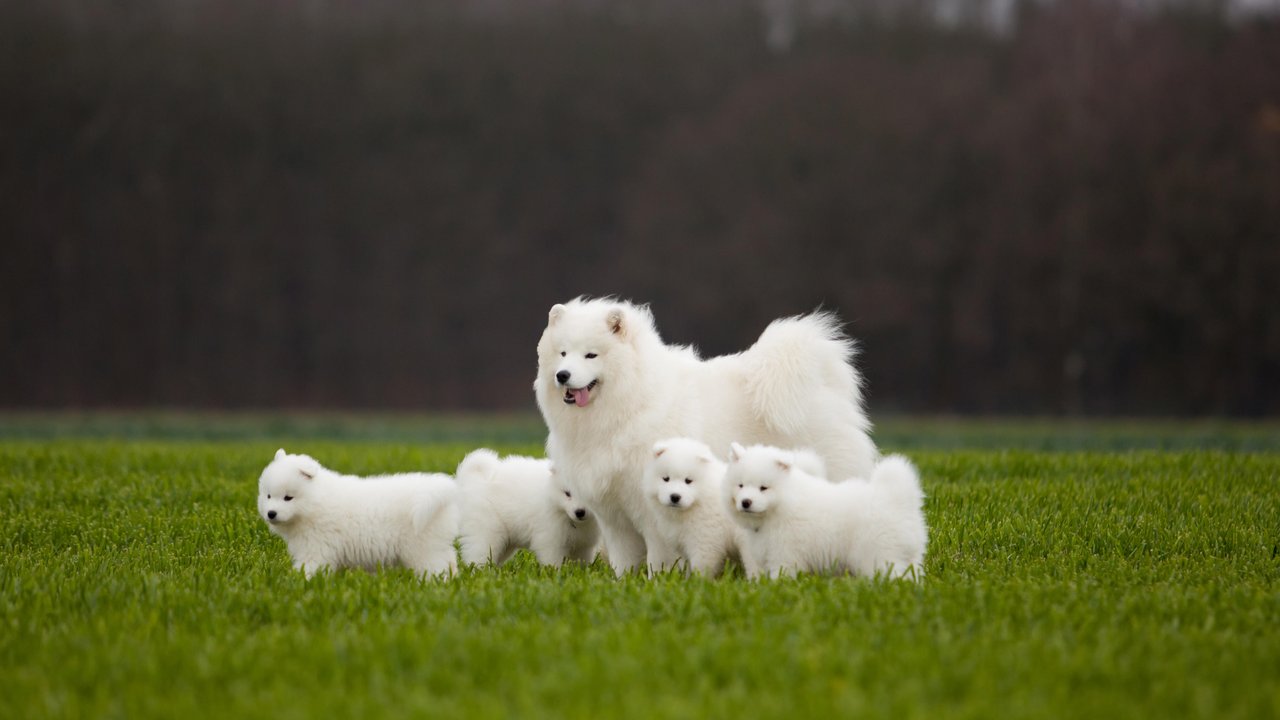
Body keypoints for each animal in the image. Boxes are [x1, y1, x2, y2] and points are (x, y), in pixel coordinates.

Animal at [256, 448, 460, 576]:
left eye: (288, 498)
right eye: (268, 495)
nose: (271, 513)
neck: (316, 502)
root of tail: (443, 489)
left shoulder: (317, 547)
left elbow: (309, 568)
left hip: (423, 550)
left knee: (436, 568)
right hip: (436, 546)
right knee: (450, 560)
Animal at [455, 448, 599, 566]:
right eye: (567, 493)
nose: (579, 512)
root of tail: (476, 481)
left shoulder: (584, 546)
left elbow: (581, 562)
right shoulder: (550, 540)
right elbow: (552, 562)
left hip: (506, 542)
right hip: (487, 531)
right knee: (479, 555)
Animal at [645, 435, 747, 573]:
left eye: (688, 480)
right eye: (666, 479)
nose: (674, 496)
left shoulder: (704, 541)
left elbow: (700, 567)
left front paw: (698, 578)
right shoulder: (683, 543)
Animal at [727, 440, 926, 579]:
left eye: (763, 488)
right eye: (740, 485)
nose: (746, 502)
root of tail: (895, 498)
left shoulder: (784, 555)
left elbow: (781, 575)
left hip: (879, 553)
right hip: (910, 555)